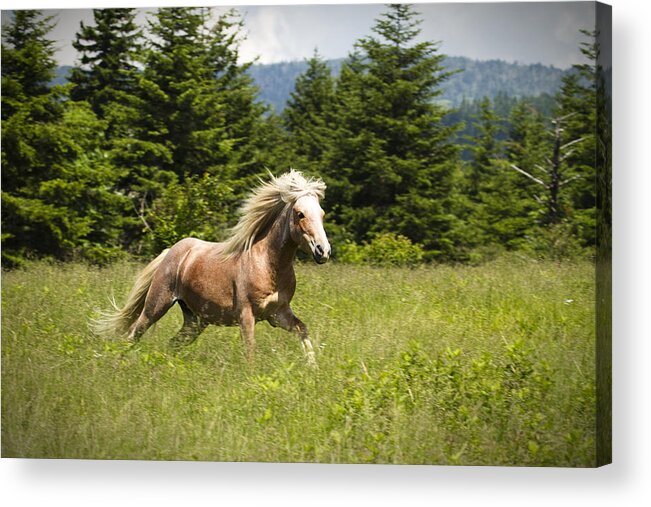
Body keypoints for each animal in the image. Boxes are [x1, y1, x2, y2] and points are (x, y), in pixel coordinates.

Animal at [91, 171, 332, 366]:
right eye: (300, 214)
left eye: (321, 214)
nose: (323, 251)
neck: (267, 265)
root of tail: (171, 252)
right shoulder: (246, 315)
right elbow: (249, 351)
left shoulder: (278, 314)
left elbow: (302, 330)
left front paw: (313, 368)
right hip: (157, 305)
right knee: (134, 332)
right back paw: (118, 365)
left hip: (195, 321)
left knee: (172, 343)